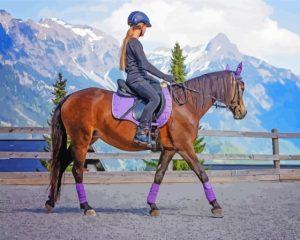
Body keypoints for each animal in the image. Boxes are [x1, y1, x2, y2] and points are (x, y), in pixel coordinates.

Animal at [44, 63, 246, 218]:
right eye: (242, 88)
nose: (242, 113)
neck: (186, 105)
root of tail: (70, 97)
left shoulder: (170, 149)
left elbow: (159, 175)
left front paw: (152, 206)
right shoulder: (185, 147)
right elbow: (201, 173)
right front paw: (216, 205)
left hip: (85, 139)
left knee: (61, 164)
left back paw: (50, 202)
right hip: (81, 140)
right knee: (77, 171)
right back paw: (87, 208)